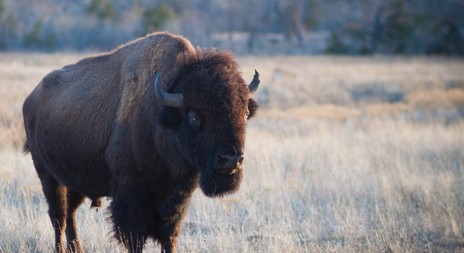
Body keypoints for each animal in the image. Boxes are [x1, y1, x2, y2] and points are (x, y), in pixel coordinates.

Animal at [22, 32, 258, 253]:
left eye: (245, 113)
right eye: (194, 117)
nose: (230, 159)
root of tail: (31, 98)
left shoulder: (177, 197)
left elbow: (169, 236)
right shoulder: (131, 195)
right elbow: (134, 236)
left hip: (74, 180)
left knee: (70, 214)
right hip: (47, 175)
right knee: (58, 217)